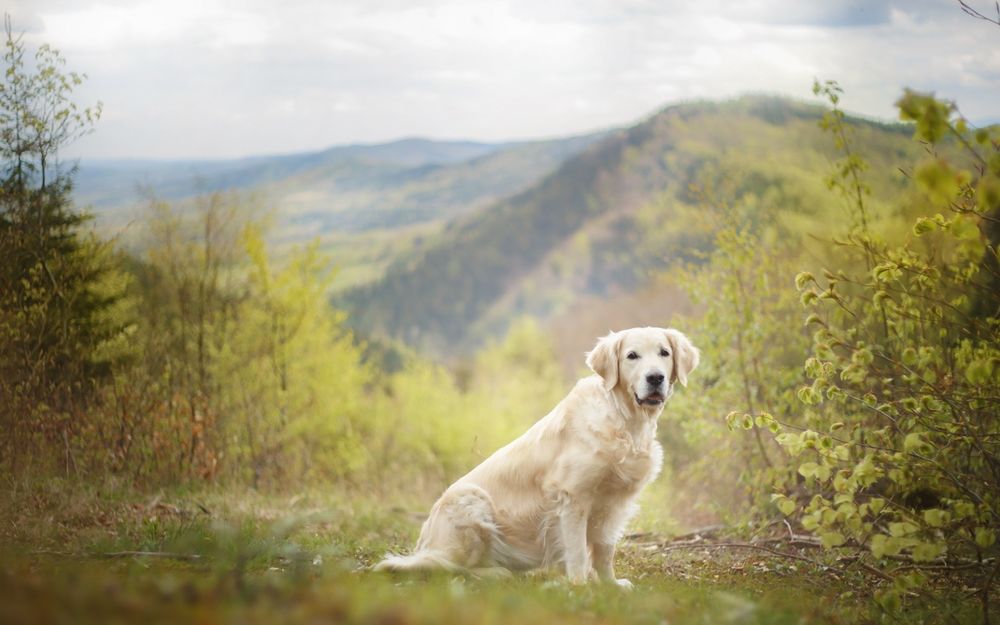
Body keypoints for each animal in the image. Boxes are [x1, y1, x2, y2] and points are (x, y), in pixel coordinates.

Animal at [374, 326, 696, 584]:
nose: (655, 378)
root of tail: (424, 543)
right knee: (449, 568)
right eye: (632, 356)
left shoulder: (613, 504)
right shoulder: (572, 497)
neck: (624, 421)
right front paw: (580, 587)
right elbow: (577, 551)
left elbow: (605, 551)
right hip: (470, 501)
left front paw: (610, 586)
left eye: (664, 353)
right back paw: (496, 573)